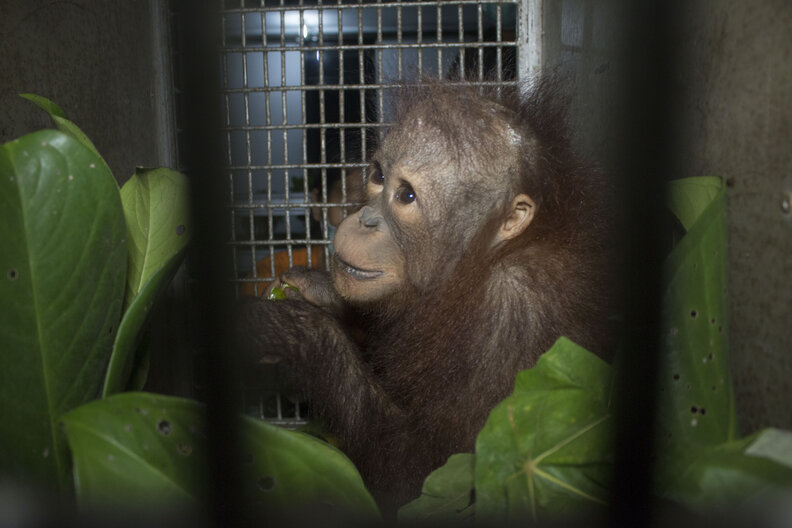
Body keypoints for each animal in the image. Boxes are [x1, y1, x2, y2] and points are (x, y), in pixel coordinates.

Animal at [236, 77, 614, 515]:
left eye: (407, 196)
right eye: (378, 175)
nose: (363, 221)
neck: (480, 261)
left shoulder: (516, 319)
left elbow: (426, 473)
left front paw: (297, 331)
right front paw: (316, 289)